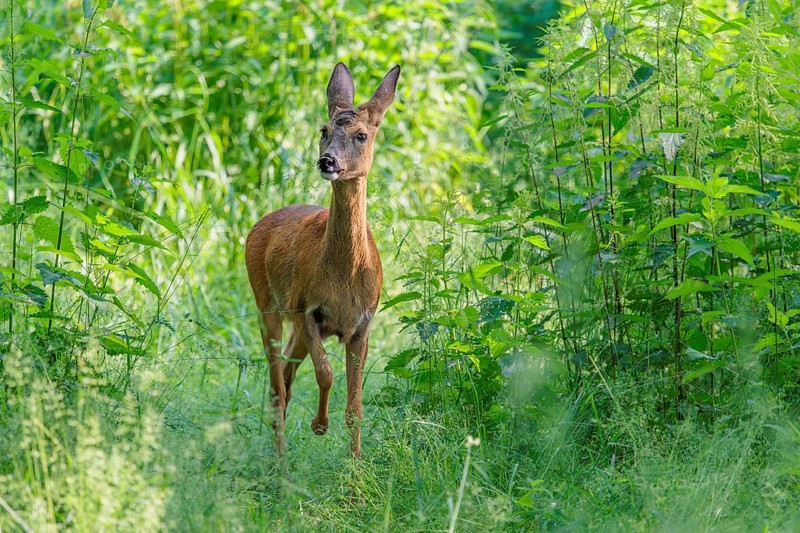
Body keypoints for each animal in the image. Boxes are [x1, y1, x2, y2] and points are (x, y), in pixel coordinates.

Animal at [245, 63, 399, 457]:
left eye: (362, 135)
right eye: (324, 130)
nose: (327, 161)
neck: (344, 276)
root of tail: (259, 223)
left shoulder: (363, 323)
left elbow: (355, 406)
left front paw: (356, 471)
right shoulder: (306, 309)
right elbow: (325, 374)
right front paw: (319, 425)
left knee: (285, 375)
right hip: (267, 305)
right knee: (276, 385)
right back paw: (280, 462)